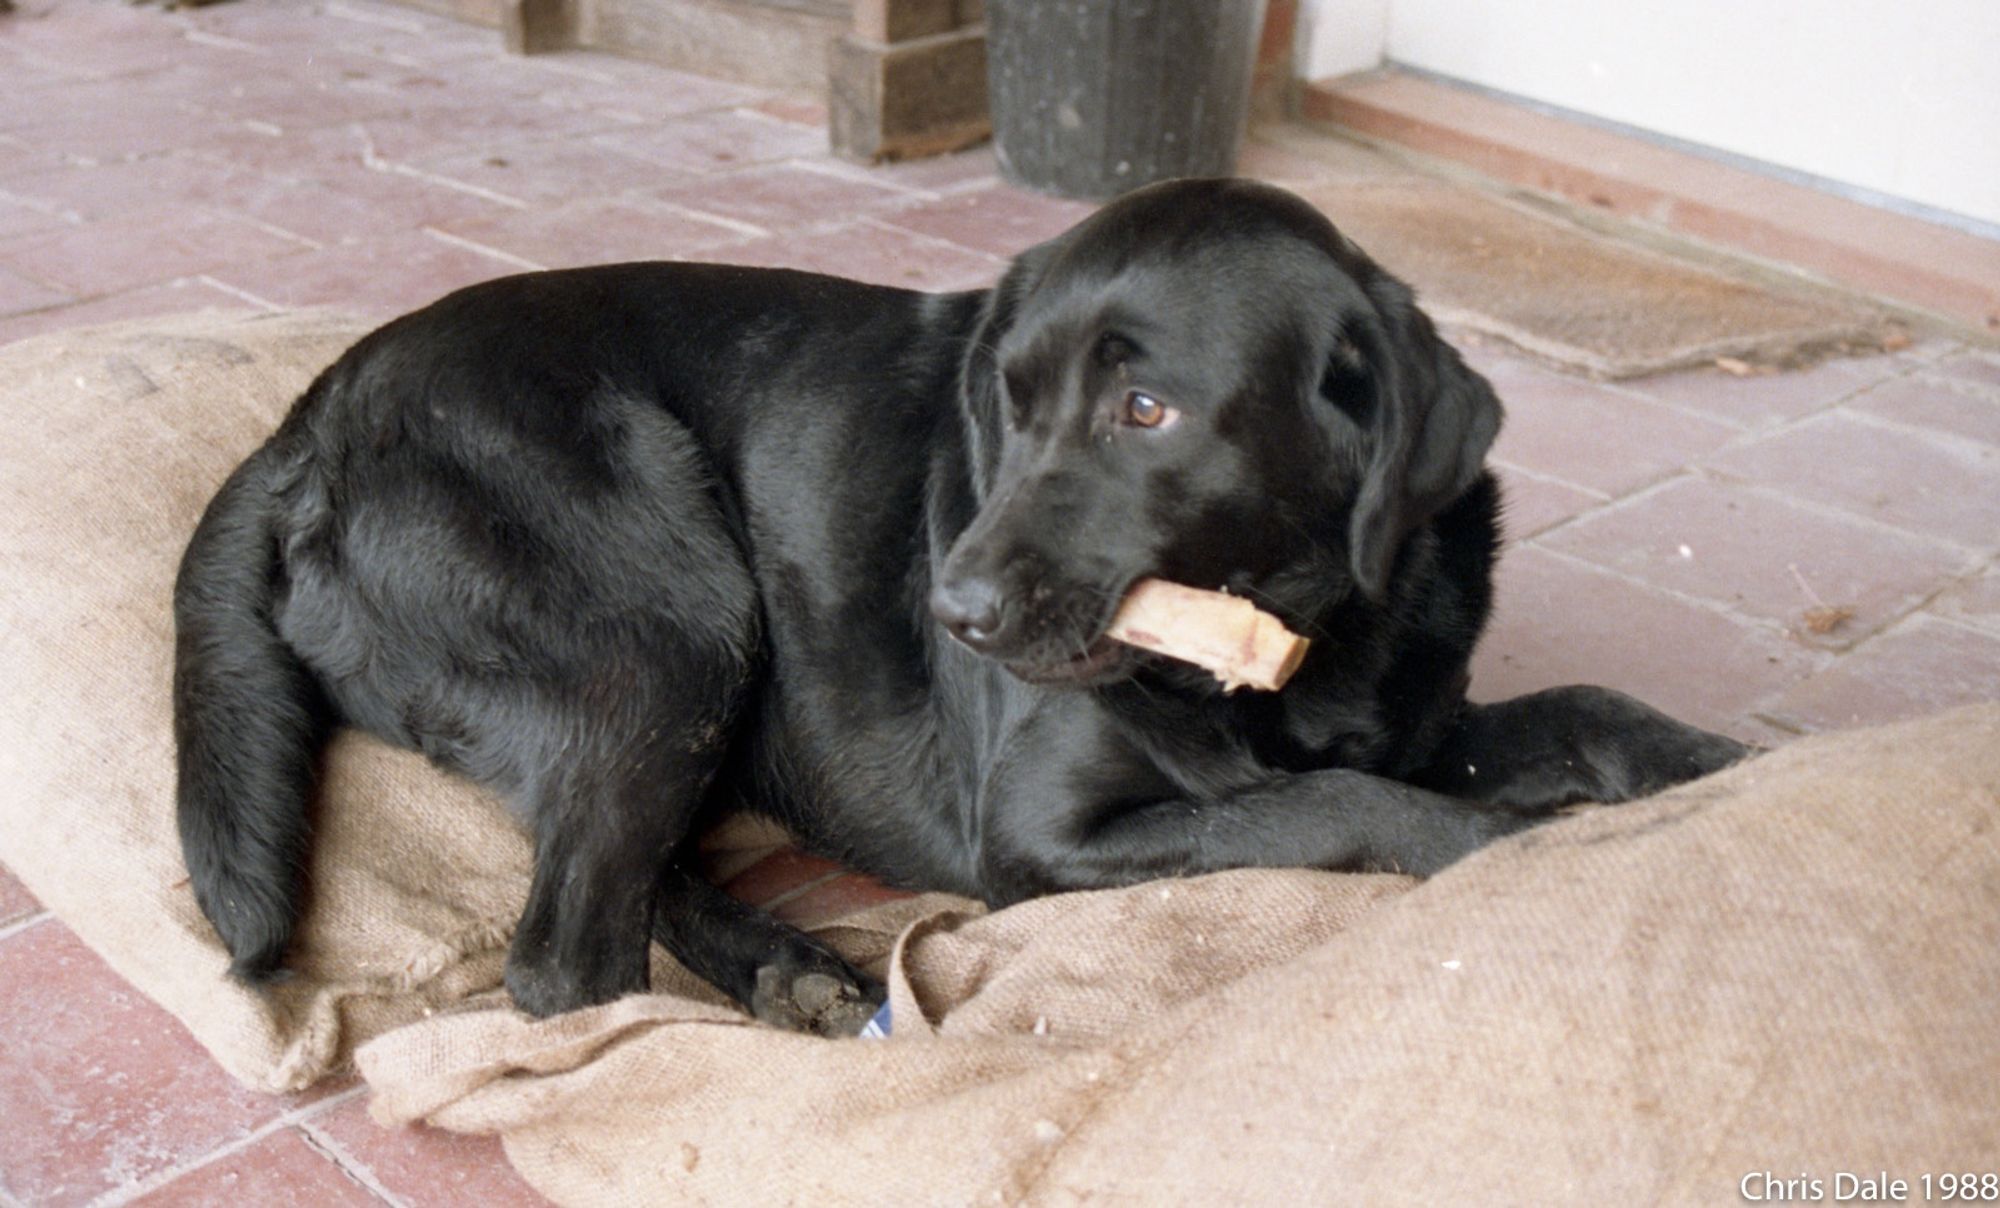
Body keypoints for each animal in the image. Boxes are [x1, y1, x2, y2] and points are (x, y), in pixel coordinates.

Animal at [176, 177, 1752, 1032]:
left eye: (1145, 409)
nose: (957, 612)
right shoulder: (1041, 837)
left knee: (624, 868)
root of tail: (309, 410)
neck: (1290, 636)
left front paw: (1727, 766)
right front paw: (1510, 853)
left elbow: (1573, 710)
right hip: (675, 612)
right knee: (564, 953)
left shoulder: (1426, 711)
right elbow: (1344, 806)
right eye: (1010, 397)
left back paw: (784, 969)